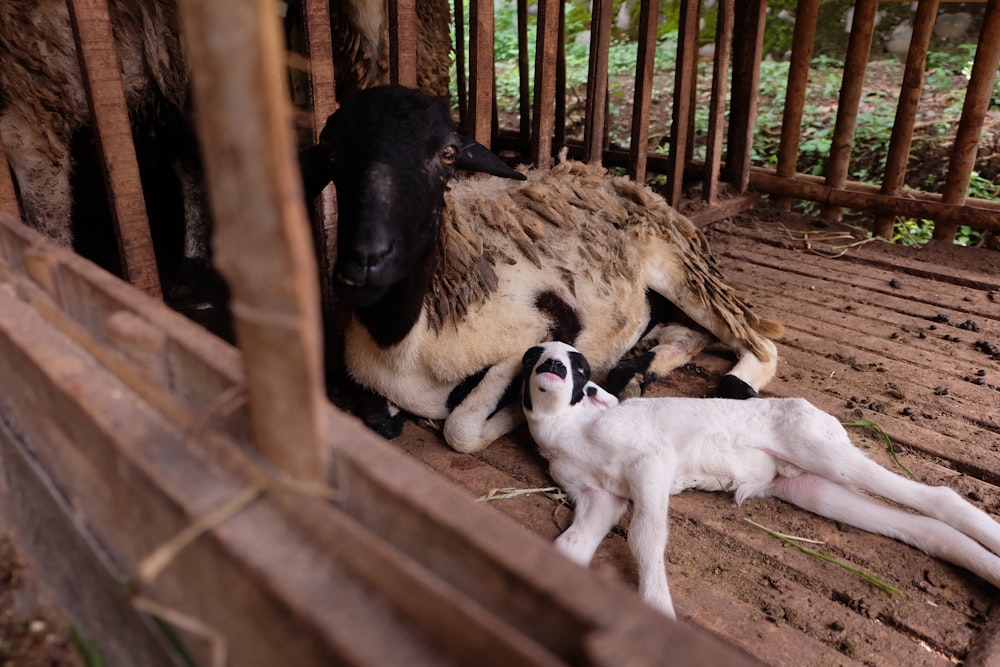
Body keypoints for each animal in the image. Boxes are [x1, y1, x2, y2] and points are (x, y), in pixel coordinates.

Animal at [308, 85, 784, 454]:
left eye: (447, 153)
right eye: (329, 150)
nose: (364, 261)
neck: (404, 336)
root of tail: (619, 180)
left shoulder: (541, 329)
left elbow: (460, 428)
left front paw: (516, 416)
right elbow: (371, 412)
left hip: (681, 271)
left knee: (756, 343)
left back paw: (732, 382)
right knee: (689, 334)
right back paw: (632, 375)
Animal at [520, 342, 1000, 624]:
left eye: (581, 367)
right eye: (532, 356)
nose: (553, 366)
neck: (569, 430)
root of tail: (814, 411)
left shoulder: (650, 461)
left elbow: (645, 537)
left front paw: (659, 612)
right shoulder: (598, 496)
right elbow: (570, 546)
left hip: (816, 447)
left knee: (938, 497)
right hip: (809, 486)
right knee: (926, 528)